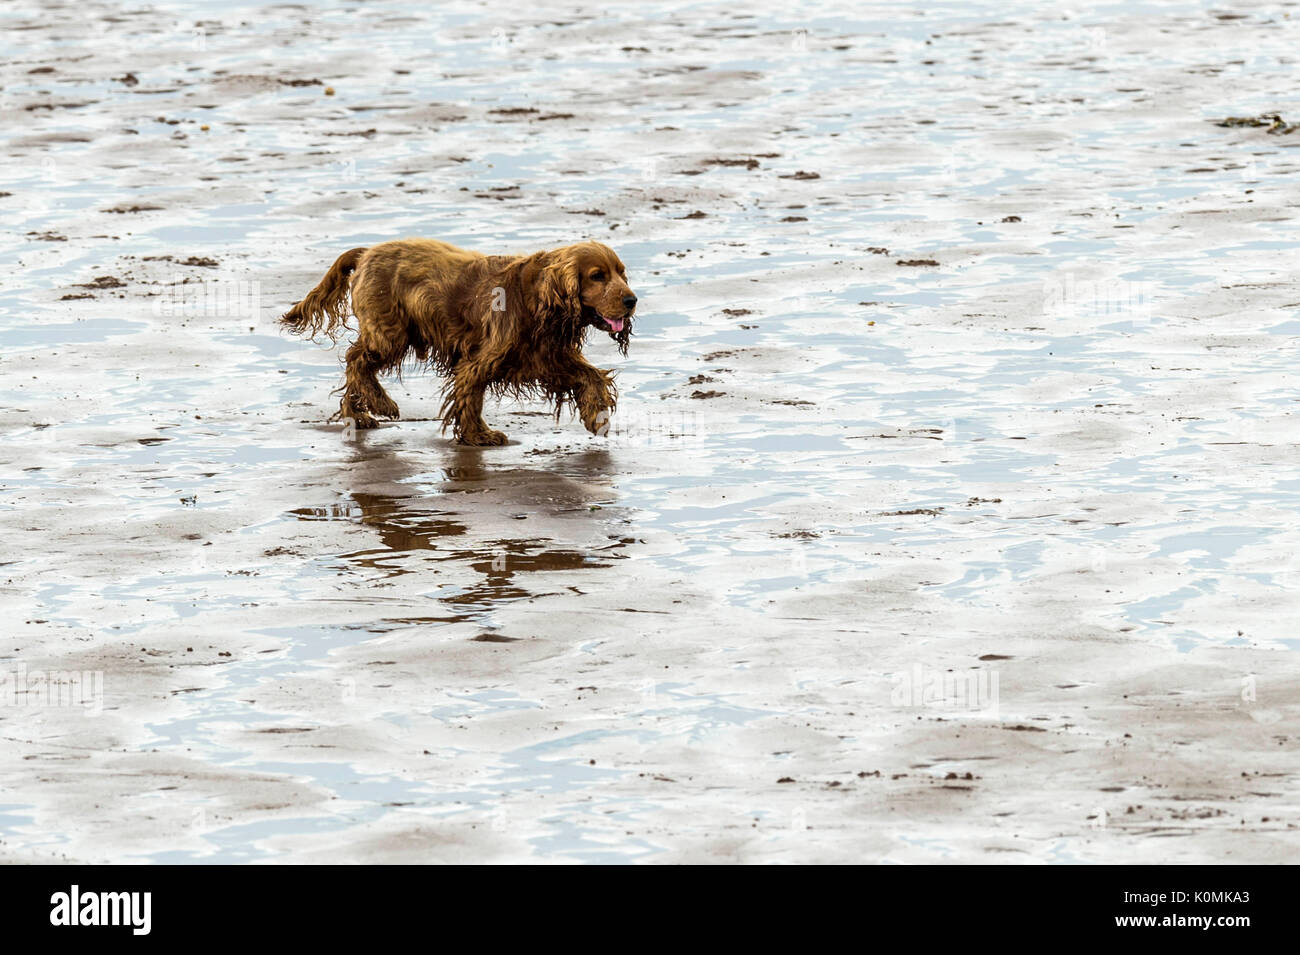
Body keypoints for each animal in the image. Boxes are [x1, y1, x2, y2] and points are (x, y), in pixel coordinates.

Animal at [282, 239, 637, 446]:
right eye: (597, 276)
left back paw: (358, 416)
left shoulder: (547, 356)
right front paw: (478, 435)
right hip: (391, 334)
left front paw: (595, 414)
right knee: (356, 360)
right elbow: (470, 397)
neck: (535, 296)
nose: (631, 300)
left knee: (355, 366)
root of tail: (366, 252)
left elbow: (591, 376)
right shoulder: (481, 359)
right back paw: (380, 405)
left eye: (622, 273)